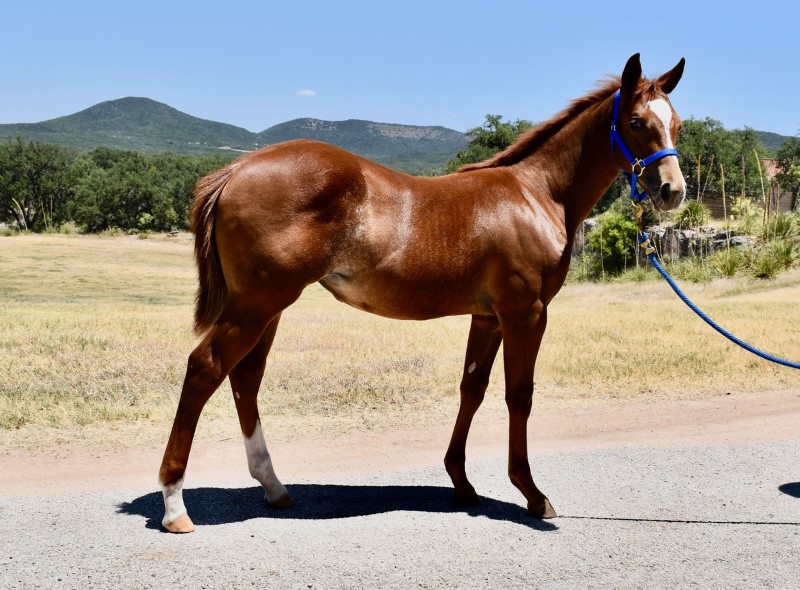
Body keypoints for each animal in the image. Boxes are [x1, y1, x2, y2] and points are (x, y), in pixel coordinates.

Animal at [158, 55, 688, 536]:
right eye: (637, 122)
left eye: (677, 124)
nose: (672, 190)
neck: (537, 194)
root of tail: (237, 168)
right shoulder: (525, 314)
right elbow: (519, 395)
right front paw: (532, 494)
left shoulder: (488, 317)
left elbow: (472, 389)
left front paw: (462, 482)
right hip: (256, 305)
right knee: (205, 369)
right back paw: (175, 505)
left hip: (267, 308)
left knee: (245, 376)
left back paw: (273, 487)